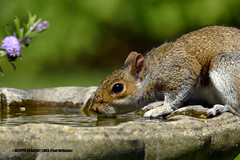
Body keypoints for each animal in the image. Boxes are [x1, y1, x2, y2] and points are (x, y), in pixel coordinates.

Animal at [89, 26, 240, 117]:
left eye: (117, 87)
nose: (95, 109)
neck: (152, 72)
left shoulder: (179, 70)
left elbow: (179, 90)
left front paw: (160, 108)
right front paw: (156, 104)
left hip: (224, 66)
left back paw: (223, 108)